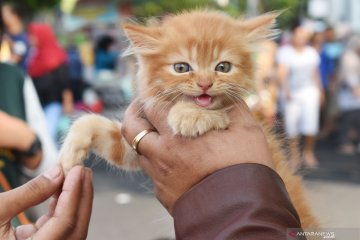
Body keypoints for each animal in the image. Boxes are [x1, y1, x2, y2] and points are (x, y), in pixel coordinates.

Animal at [59, 10, 318, 229]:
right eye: (181, 67)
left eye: (223, 67)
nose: (205, 84)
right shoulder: (136, 145)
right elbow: (93, 126)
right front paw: (68, 155)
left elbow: (210, 114)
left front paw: (188, 115)